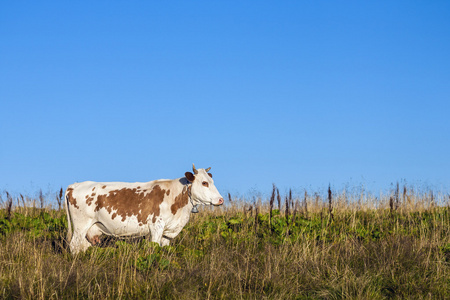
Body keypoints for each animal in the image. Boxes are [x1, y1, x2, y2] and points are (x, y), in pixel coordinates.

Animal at [64, 164, 223, 253]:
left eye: (212, 181)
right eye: (204, 183)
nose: (221, 199)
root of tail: (75, 185)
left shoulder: (167, 232)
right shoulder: (156, 227)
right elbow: (154, 249)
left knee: (83, 246)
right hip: (80, 226)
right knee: (74, 246)